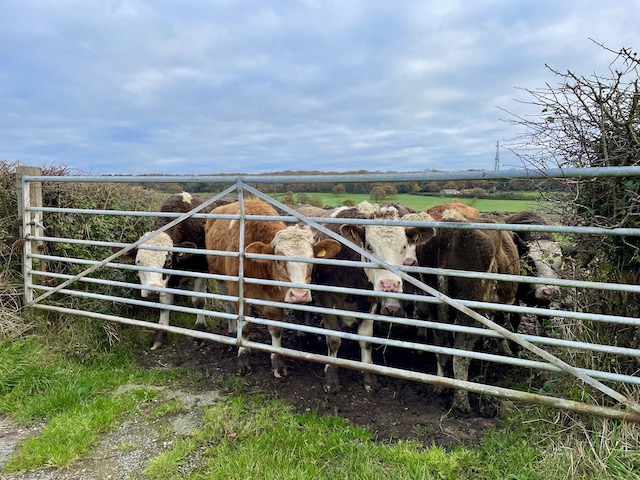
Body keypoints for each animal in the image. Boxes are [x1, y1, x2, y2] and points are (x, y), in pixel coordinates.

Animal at [126, 192, 218, 350]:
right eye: (138, 262)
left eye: (168, 261)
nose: (152, 290)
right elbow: (165, 303)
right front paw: (160, 334)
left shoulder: (201, 269)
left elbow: (199, 301)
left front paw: (199, 331)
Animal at [205, 198, 341, 378]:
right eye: (278, 260)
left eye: (312, 259)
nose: (300, 295)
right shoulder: (238, 292)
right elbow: (245, 327)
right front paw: (243, 358)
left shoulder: (276, 299)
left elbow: (276, 329)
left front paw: (277, 361)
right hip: (219, 275)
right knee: (227, 303)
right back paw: (232, 328)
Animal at [311, 206, 435, 393]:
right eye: (369, 246)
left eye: (404, 246)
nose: (390, 284)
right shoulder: (326, 299)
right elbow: (334, 339)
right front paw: (331, 379)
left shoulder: (371, 302)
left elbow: (366, 340)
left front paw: (370, 379)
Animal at [414, 209, 520, 414]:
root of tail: (450, 224)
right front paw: (506, 349)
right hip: (471, 307)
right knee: (461, 353)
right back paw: (462, 402)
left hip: (434, 301)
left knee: (440, 344)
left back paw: (440, 388)